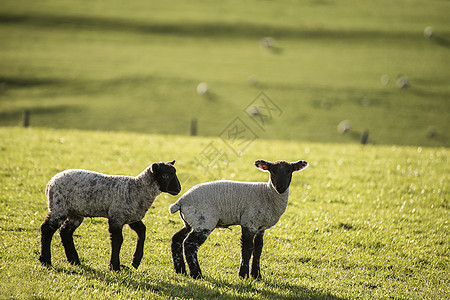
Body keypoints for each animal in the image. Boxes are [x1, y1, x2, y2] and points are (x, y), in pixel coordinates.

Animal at [167, 159, 308, 278]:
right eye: (272, 171)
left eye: (289, 171)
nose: (280, 187)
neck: (267, 193)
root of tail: (181, 201)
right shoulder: (249, 222)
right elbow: (247, 248)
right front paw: (243, 275)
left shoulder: (260, 227)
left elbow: (258, 249)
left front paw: (256, 276)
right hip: (204, 221)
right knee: (189, 244)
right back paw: (196, 274)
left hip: (190, 222)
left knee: (177, 239)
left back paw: (180, 270)